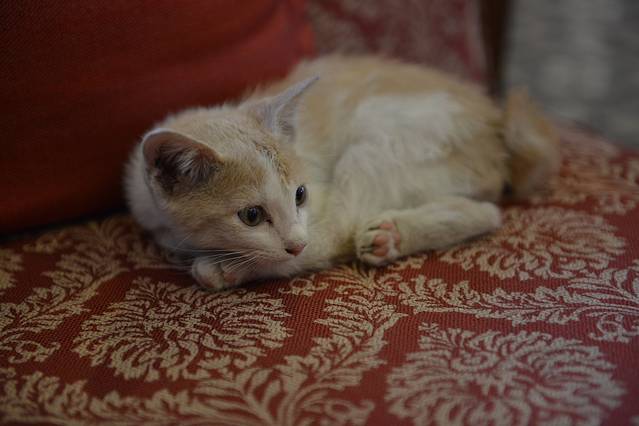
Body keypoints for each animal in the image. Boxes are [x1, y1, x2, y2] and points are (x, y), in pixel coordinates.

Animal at [125, 55, 560, 290]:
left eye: (300, 194)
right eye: (251, 215)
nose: (295, 241)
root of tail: (496, 128)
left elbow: (315, 243)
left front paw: (226, 266)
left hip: (379, 132)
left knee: (340, 231)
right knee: (486, 211)